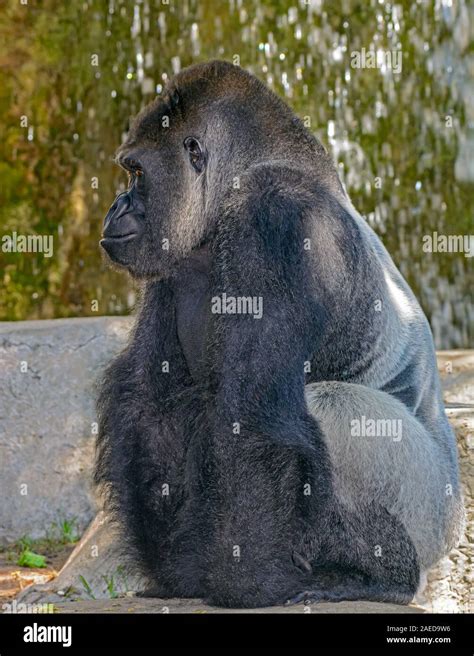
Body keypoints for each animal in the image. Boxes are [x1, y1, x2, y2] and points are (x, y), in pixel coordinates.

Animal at [95, 59, 462, 608]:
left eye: (136, 172)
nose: (116, 207)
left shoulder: (277, 214)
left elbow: (254, 418)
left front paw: (249, 582)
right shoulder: (174, 263)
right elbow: (149, 404)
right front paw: (179, 572)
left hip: (435, 511)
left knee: (335, 407)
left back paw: (383, 574)